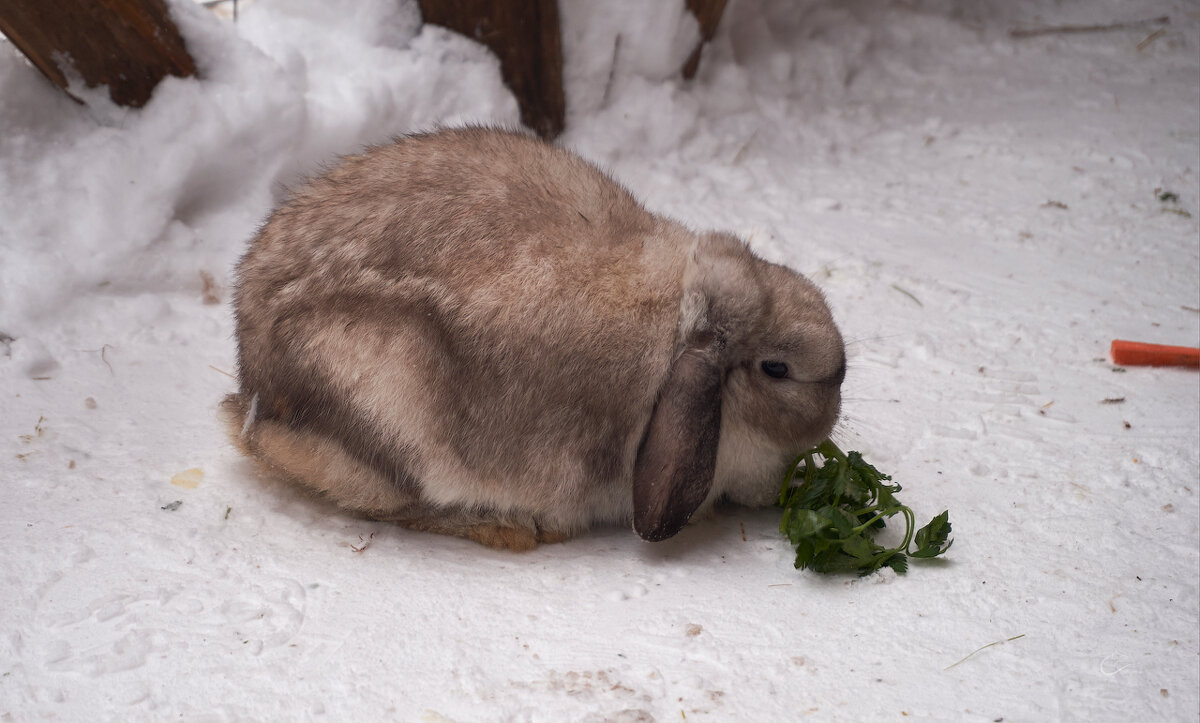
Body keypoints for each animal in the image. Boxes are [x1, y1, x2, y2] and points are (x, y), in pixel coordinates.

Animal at [225, 126, 844, 550]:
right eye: (777, 369)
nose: (839, 374)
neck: (678, 330)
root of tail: (253, 392)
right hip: (388, 396)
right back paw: (511, 528)